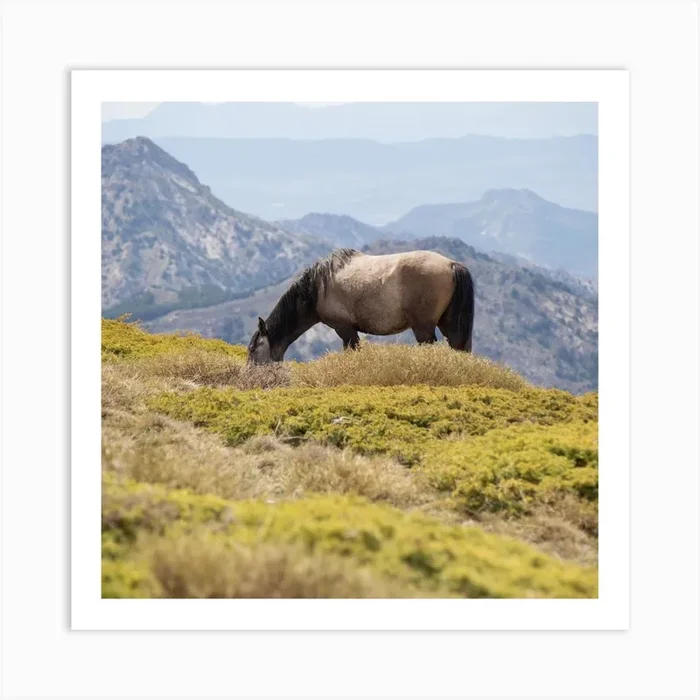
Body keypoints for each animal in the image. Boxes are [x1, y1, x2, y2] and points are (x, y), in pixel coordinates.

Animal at [247, 248, 475, 364]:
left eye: (253, 349)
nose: (252, 379)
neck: (317, 288)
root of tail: (452, 264)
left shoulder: (345, 329)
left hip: (423, 328)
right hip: (447, 324)